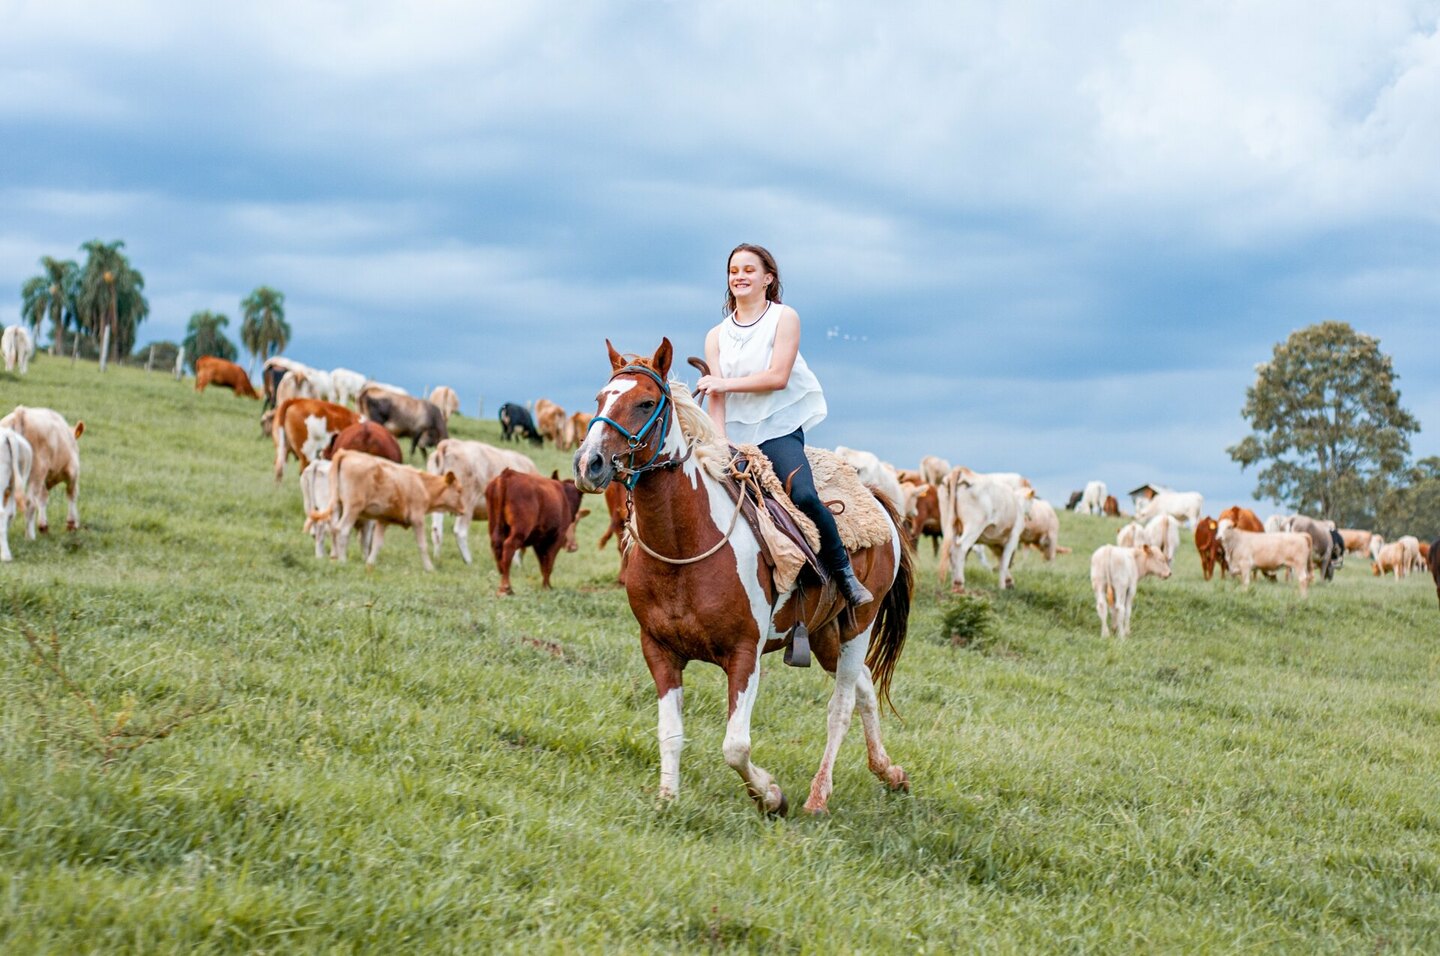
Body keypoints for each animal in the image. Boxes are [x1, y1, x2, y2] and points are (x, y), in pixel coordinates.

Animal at [0, 406, 82, 538]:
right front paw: (71, 524)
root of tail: (22, 412)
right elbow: (72, 493)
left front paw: (43, 526)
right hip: (38, 470)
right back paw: (30, 537)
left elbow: (43, 497)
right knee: (30, 501)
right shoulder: (73, 471)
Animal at [570, 338, 910, 812]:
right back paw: (889, 772)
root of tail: (876, 498)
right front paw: (667, 799)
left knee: (840, 706)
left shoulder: (744, 654)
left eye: (645, 403)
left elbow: (735, 746)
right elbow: (670, 732)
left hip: (859, 625)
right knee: (862, 686)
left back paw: (818, 796)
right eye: (600, 399)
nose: (590, 464)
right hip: (826, 634)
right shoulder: (658, 650)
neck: (685, 548)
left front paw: (770, 796)